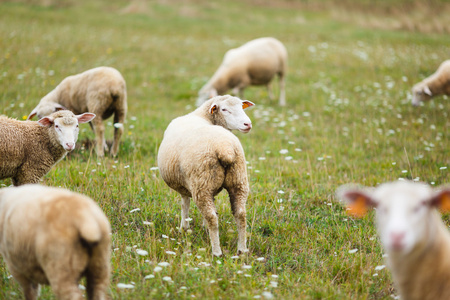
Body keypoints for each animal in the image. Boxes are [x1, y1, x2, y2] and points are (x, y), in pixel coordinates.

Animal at [157, 95, 255, 256]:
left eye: (242, 107)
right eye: (224, 109)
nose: (247, 124)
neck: (201, 115)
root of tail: (225, 148)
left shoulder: (185, 183)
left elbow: (185, 203)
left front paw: (184, 228)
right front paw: (200, 227)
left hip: (201, 183)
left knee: (212, 218)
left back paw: (216, 251)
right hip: (238, 180)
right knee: (241, 214)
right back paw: (242, 249)